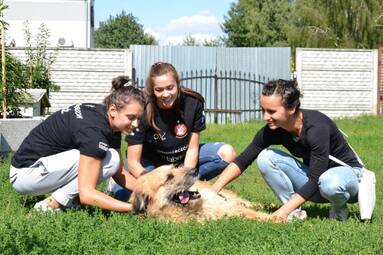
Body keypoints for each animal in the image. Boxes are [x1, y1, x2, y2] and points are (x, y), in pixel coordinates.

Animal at [130, 164, 274, 222]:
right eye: (169, 177)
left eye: (175, 167)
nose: (195, 170)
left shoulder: (229, 206)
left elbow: (258, 214)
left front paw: (276, 218)